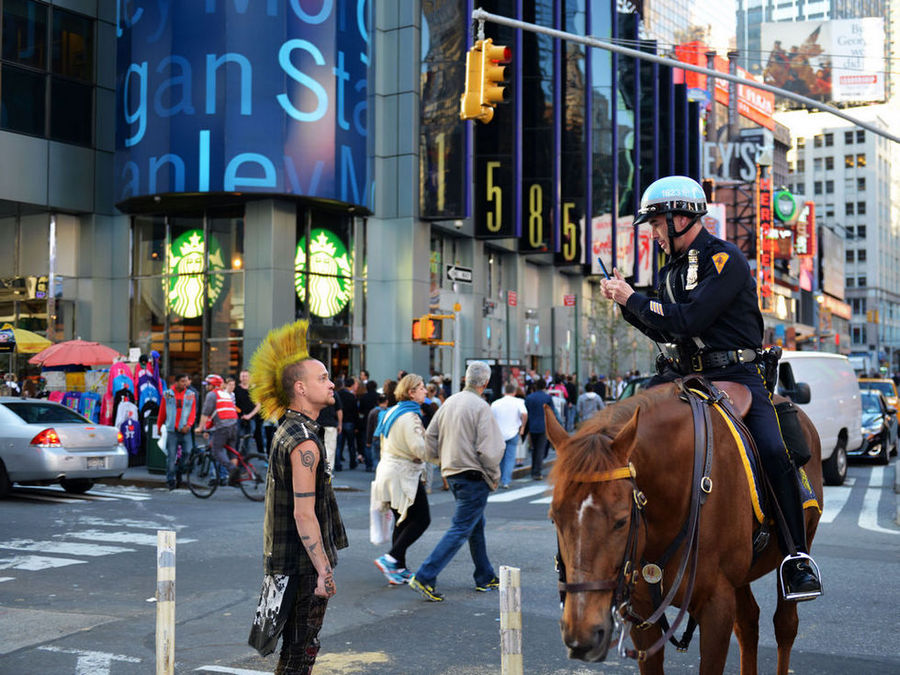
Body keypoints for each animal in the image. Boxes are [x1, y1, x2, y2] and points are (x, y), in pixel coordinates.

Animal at [548, 382, 824, 672]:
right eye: (554, 517)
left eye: (622, 521)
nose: (582, 636)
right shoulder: (643, 613)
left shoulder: (717, 606)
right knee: (748, 623)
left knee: (785, 626)